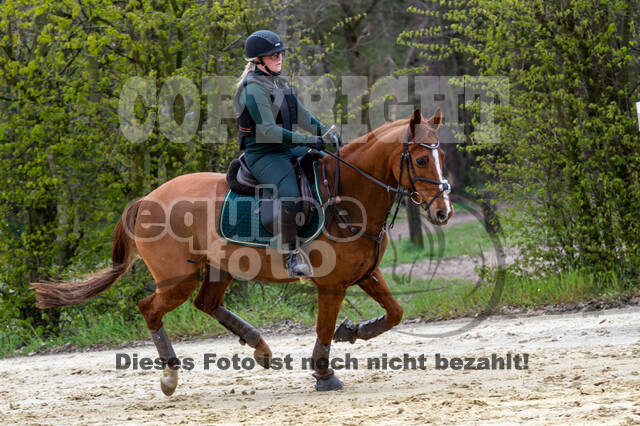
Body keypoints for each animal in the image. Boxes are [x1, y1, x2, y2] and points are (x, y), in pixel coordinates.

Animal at [30, 108, 450, 394]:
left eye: (441, 156)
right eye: (420, 159)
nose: (442, 212)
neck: (345, 195)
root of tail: (146, 200)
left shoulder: (365, 273)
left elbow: (394, 314)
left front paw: (353, 330)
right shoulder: (331, 285)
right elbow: (323, 328)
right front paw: (324, 373)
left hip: (219, 268)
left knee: (206, 303)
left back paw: (260, 348)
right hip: (177, 278)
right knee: (151, 309)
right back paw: (170, 374)